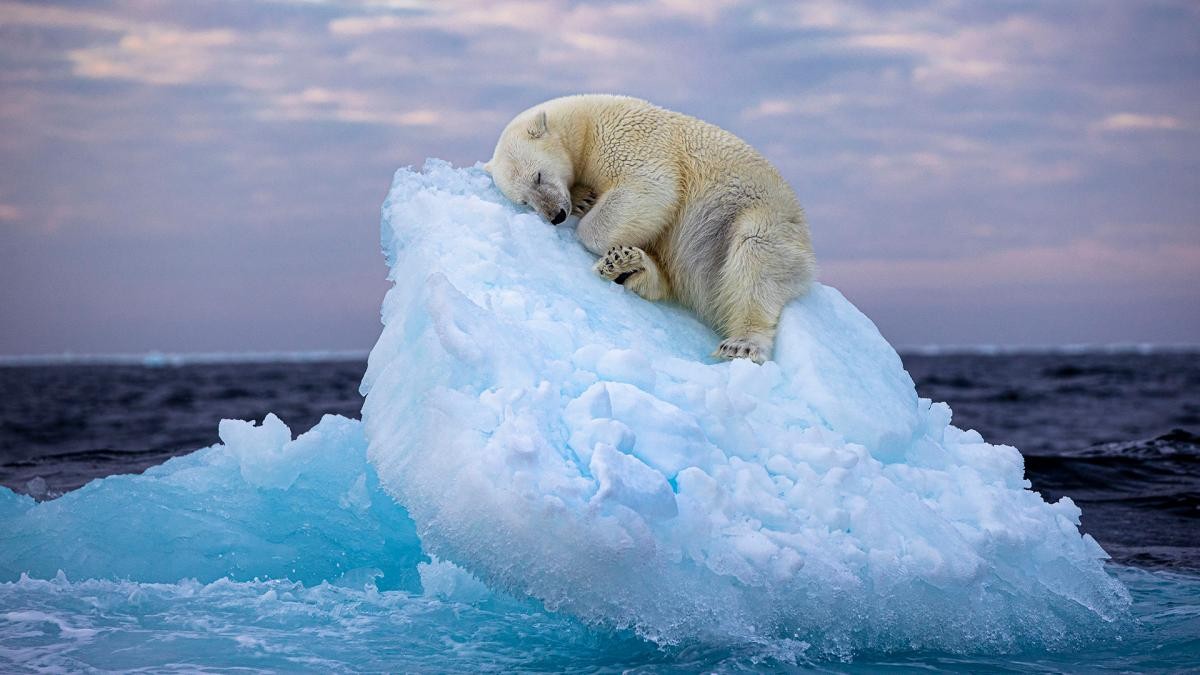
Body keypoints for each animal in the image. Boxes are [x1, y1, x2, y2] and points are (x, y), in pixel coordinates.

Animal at [484, 94, 815, 364]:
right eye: (524, 201)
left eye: (538, 176)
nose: (555, 215)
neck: (585, 123)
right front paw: (583, 198)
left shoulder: (628, 139)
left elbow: (650, 187)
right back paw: (628, 266)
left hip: (757, 216)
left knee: (755, 258)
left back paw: (742, 344)